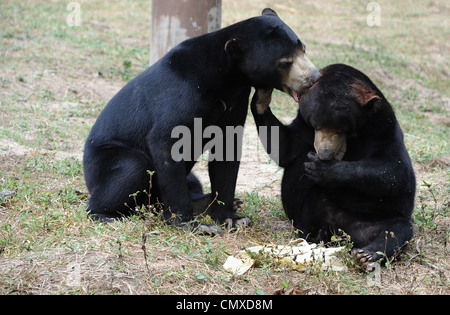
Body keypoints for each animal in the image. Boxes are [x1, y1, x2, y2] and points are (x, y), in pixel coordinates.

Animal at [82, 8, 322, 233]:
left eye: (304, 49)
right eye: (285, 62)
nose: (314, 78)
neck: (224, 76)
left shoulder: (236, 97)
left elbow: (227, 151)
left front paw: (232, 218)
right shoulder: (182, 93)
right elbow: (166, 141)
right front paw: (193, 225)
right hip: (106, 160)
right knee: (132, 168)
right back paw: (108, 215)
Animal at [251, 63, 416, 270]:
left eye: (341, 129)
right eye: (316, 125)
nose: (324, 153)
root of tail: (344, 233)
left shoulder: (383, 128)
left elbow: (396, 172)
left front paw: (322, 169)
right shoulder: (303, 127)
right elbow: (286, 149)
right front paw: (261, 96)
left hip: (381, 217)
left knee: (397, 230)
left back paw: (367, 255)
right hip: (318, 208)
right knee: (312, 203)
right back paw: (316, 237)